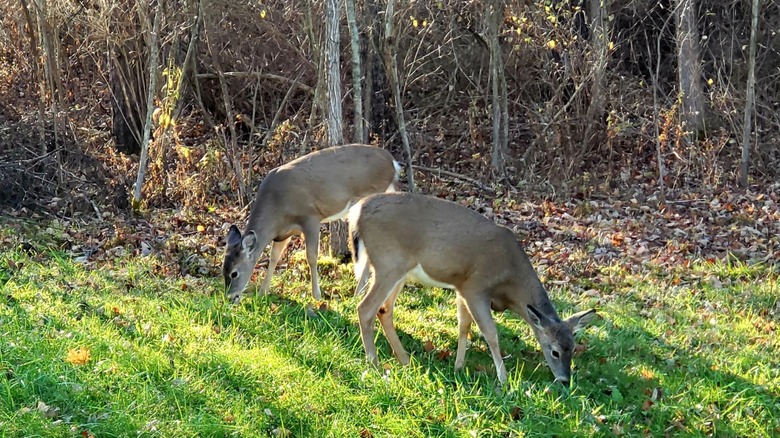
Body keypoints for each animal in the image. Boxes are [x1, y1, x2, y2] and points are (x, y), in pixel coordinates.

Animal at [223, 144, 400, 304]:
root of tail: (392, 162)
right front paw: (262, 292)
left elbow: (312, 257)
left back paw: (358, 293)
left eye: (234, 273)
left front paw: (316, 295)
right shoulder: (283, 232)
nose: (230, 297)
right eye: (223, 269)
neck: (276, 208)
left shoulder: (310, 218)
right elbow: (274, 257)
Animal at [347, 192, 597, 384]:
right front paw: (504, 380)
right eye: (554, 351)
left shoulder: (462, 287)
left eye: (573, 348)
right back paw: (374, 363)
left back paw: (405, 360)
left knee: (384, 310)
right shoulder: (475, 287)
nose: (564, 380)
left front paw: (458, 367)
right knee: (365, 308)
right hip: (388, 264)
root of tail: (356, 213)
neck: (510, 281)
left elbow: (463, 326)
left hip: (399, 271)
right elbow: (491, 333)